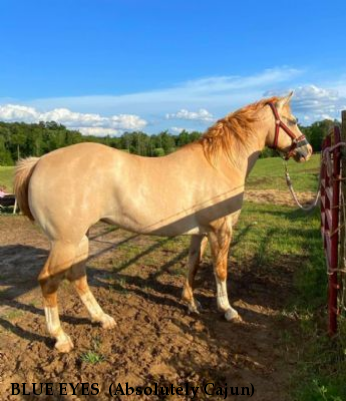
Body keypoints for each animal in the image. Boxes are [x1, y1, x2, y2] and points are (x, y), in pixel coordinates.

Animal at [13, 90, 312, 350]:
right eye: (293, 121)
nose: (306, 150)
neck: (219, 163)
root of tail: (38, 162)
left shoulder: (200, 233)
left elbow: (193, 265)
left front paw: (191, 303)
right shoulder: (221, 231)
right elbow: (220, 271)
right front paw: (228, 310)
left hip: (80, 239)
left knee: (77, 276)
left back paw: (102, 319)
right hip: (65, 242)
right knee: (48, 282)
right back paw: (61, 338)